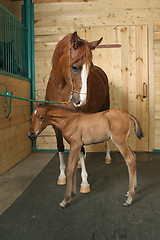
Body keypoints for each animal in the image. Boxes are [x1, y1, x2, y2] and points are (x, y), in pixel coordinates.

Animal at [44, 32, 110, 193]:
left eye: (90, 67)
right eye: (74, 67)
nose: (81, 100)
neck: (60, 90)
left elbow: (79, 149)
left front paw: (84, 182)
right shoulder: (56, 125)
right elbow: (60, 147)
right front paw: (62, 176)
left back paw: (107, 157)